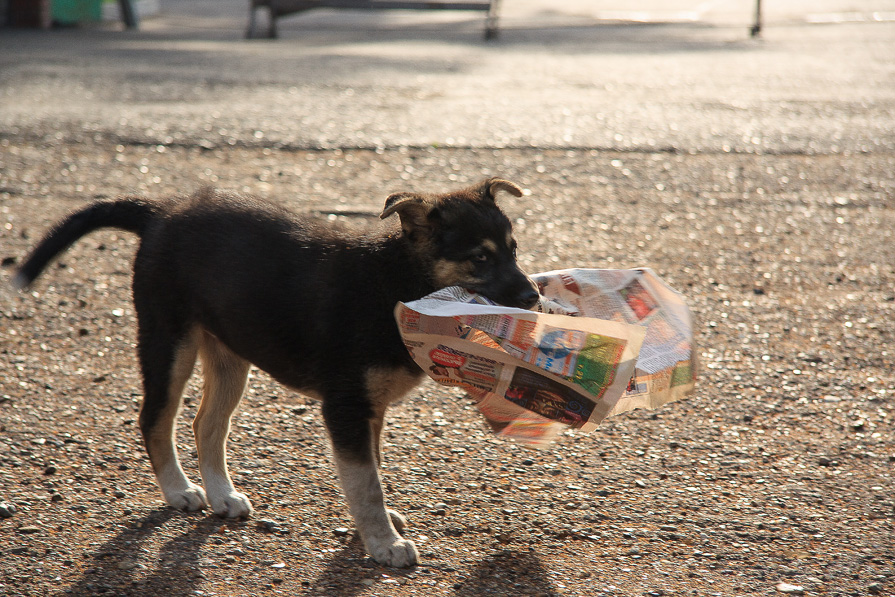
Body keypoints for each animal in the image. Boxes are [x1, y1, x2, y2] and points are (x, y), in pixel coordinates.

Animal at [12, 176, 540, 564]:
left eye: (514, 249)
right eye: (480, 258)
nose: (535, 298)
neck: (394, 280)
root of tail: (163, 213)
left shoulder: (369, 409)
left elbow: (372, 471)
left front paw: (380, 526)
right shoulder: (346, 407)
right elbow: (364, 482)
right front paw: (384, 543)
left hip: (230, 356)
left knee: (206, 424)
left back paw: (222, 494)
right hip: (168, 342)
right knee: (155, 419)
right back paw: (180, 490)